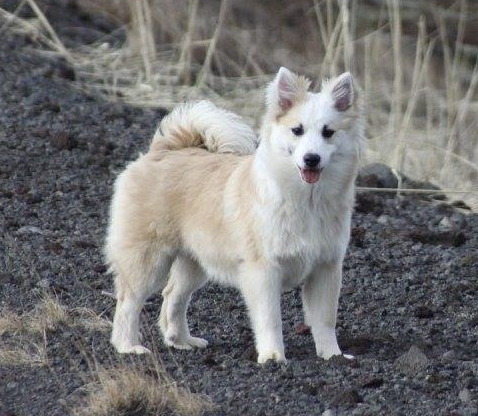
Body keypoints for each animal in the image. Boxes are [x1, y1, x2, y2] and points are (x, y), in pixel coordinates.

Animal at [105, 66, 362, 362]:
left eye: (328, 132)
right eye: (297, 130)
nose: (311, 158)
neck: (306, 200)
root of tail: (163, 150)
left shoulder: (325, 268)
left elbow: (324, 320)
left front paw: (333, 355)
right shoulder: (263, 271)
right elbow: (270, 319)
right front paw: (273, 356)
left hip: (194, 261)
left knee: (173, 296)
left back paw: (181, 340)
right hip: (147, 259)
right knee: (129, 302)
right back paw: (128, 346)